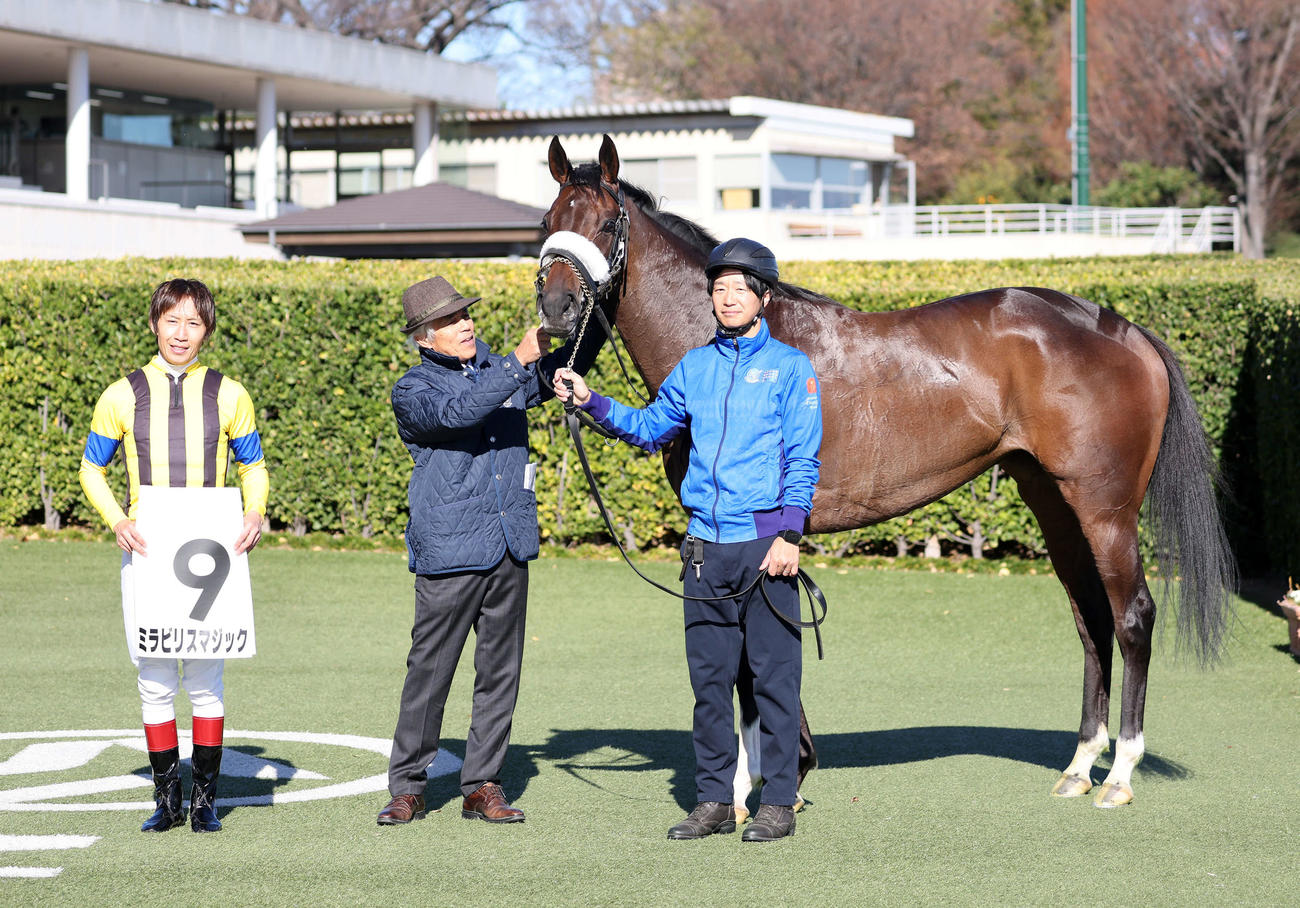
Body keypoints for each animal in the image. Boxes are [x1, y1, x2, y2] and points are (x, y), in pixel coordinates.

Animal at [535, 135, 1236, 809]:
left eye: (606, 223)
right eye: (548, 221)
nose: (556, 308)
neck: (736, 346)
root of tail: (1126, 330)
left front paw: (745, 789)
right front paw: (779, 772)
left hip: (1106, 509)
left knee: (1132, 616)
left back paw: (1120, 773)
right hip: (1055, 504)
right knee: (1091, 619)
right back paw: (1080, 765)